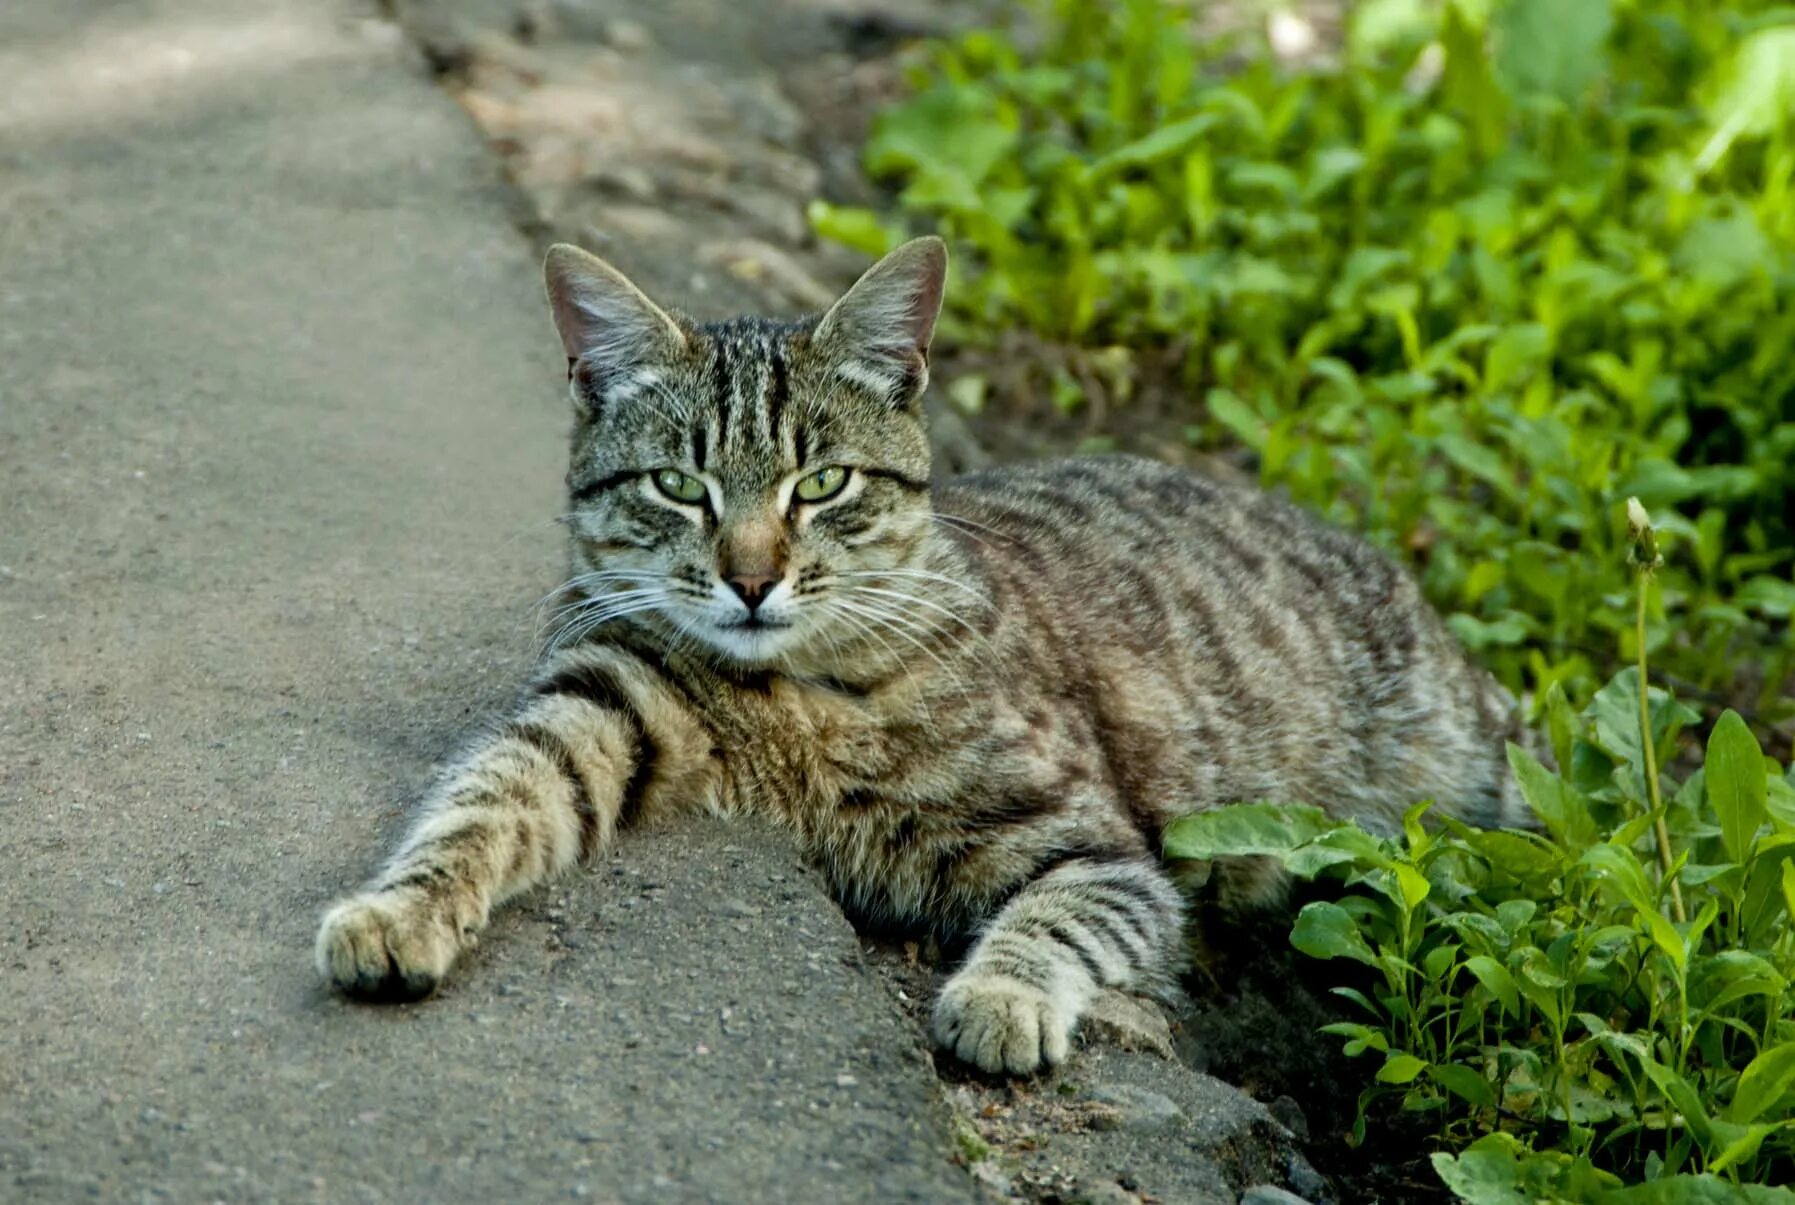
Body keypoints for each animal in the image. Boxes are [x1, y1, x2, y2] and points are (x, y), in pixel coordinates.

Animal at [312, 235, 1529, 1077]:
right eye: (677, 485)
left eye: (821, 483)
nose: (750, 578)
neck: (792, 703)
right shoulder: (594, 703)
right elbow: (480, 802)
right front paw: (400, 908)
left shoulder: (1100, 844)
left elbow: (1058, 915)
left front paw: (1000, 997)